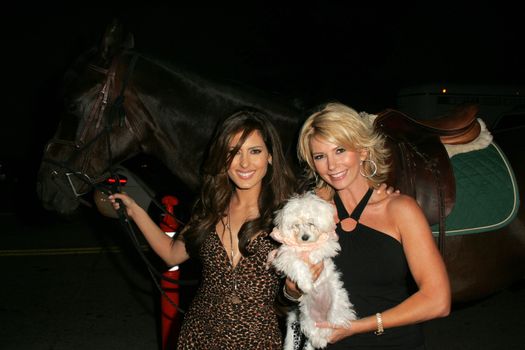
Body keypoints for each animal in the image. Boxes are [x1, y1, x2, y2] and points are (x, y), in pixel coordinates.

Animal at [266, 193, 356, 348]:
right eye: (296, 225)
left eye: (311, 223)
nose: (305, 237)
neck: (304, 247)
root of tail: (322, 318)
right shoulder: (285, 257)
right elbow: (297, 264)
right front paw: (306, 284)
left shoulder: (329, 243)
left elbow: (320, 248)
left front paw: (312, 257)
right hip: (306, 318)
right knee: (315, 333)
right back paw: (319, 340)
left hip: (337, 304)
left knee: (335, 321)